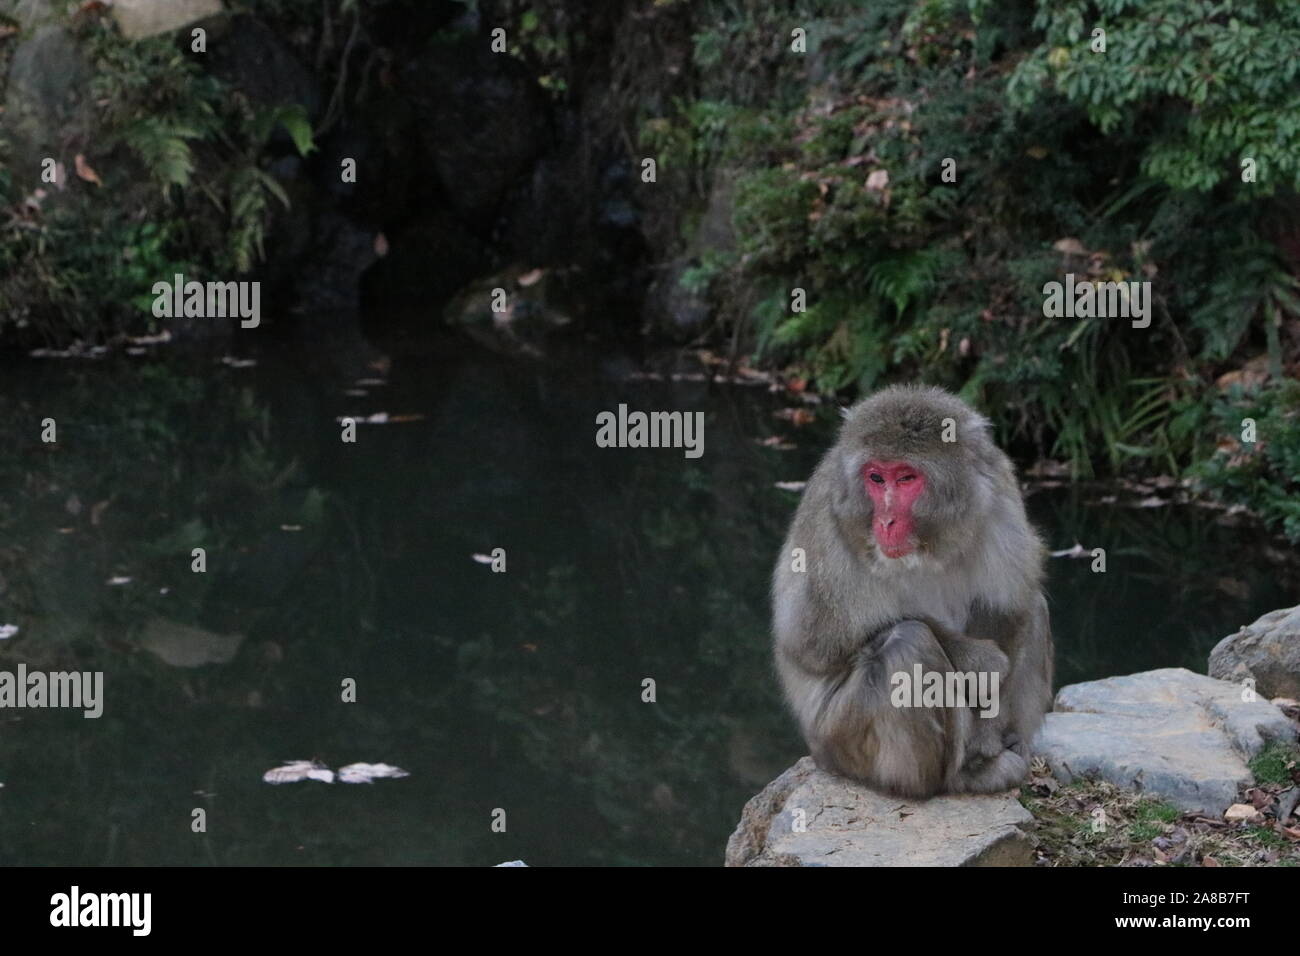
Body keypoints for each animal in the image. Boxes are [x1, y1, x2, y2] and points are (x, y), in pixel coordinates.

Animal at [772, 384, 1053, 798]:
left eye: (906, 478)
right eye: (875, 477)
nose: (886, 521)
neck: (930, 543)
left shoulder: (999, 490)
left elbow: (1008, 605)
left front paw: (989, 728)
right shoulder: (828, 516)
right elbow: (814, 642)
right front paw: (982, 661)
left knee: (1035, 606)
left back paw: (1007, 745)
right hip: (839, 741)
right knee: (907, 644)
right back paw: (949, 780)